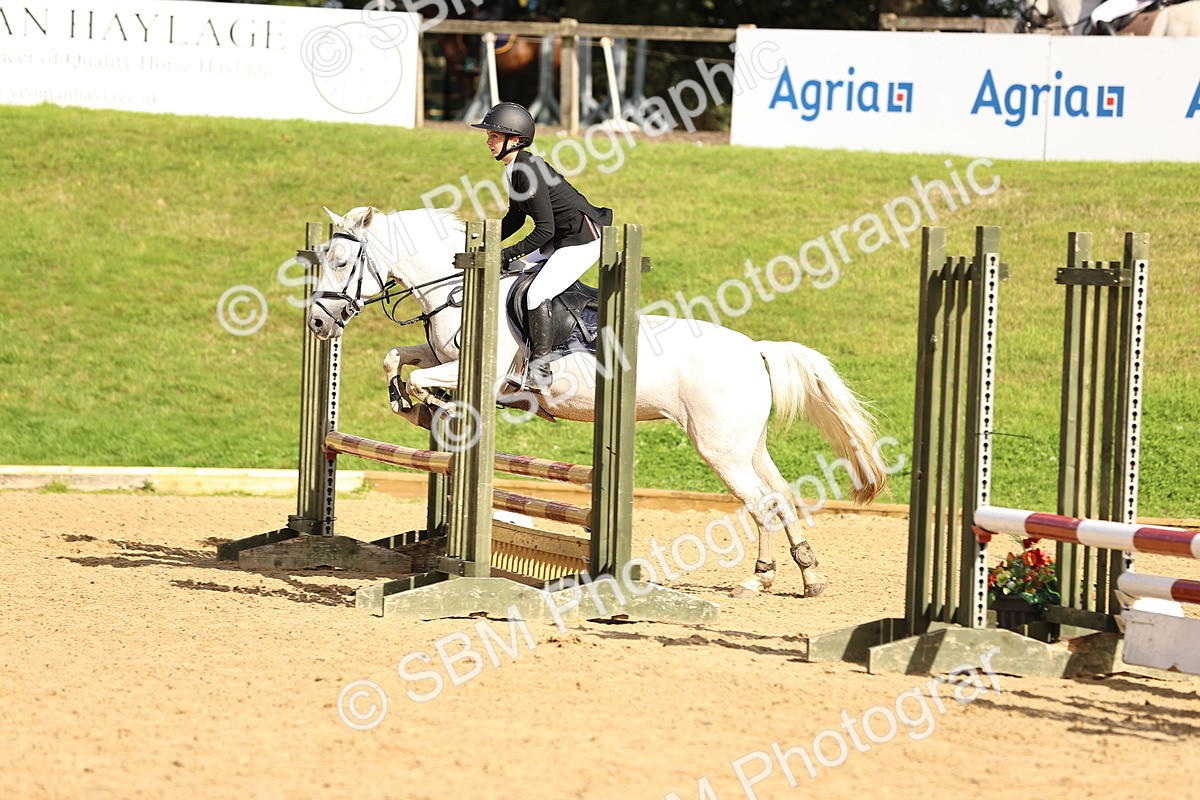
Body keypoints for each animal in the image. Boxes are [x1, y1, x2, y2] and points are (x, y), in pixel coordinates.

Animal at [306, 206, 890, 599]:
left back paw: (756, 582)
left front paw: (425, 403)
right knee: (780, 497)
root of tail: (755, 349)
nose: (316, 323)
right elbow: (395, 357)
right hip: (749, 446)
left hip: (719, 448)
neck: (458, 285)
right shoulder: (440, 352)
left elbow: (426, 376)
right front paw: (409, 401)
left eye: (342, 261)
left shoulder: (482, 374)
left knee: (762, 503)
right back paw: (805, 575)